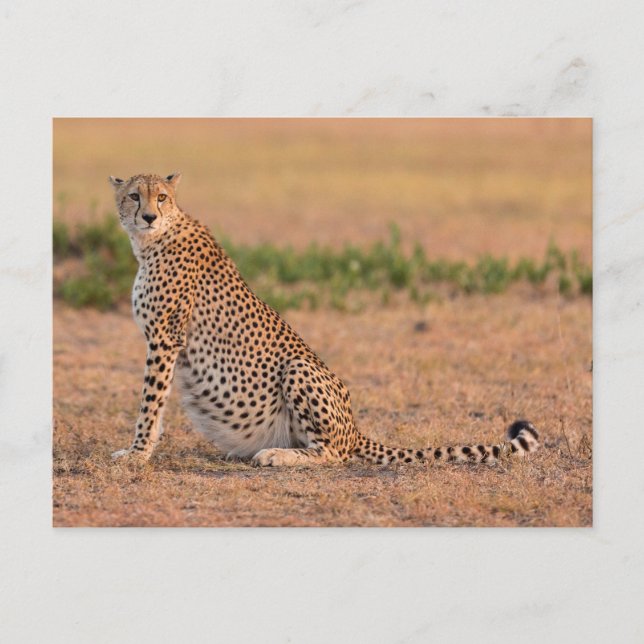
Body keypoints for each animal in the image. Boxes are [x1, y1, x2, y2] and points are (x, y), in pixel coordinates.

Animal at [109, 172, 539, 467]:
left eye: (161, 197)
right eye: (133, 195)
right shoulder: (165, 343)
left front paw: (136, 454)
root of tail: (355, 429)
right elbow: (156, 404)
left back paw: (277, 456)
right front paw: (140, 451)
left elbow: (150, 404)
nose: (148, 216)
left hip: (299, 368)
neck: (153, 241)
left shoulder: (165, 339)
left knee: (332, 453)